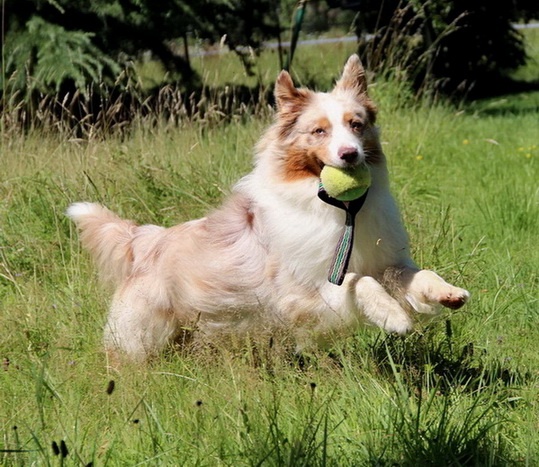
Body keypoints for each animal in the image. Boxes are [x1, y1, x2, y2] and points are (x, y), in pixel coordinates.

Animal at [69, 54, 470, 362]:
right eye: (319, 131)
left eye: (356, 125)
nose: (350, 154)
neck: (340, 209)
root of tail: (146, 239)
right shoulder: (303, 292)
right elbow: (360, 282)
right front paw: (393, 316)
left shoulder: (383, 258)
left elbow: (412, 274)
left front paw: (447, 293)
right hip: (143, 335)